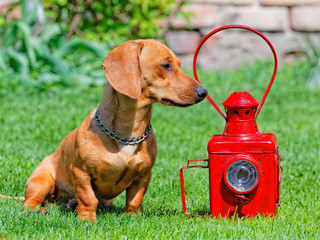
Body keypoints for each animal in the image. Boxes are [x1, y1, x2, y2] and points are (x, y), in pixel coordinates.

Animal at [23, 39, 208, 221]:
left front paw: (134, 217)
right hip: (41, 180)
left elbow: (135, 200)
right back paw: (38, 209)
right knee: (31, 201)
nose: (203, 92)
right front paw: (87, 219)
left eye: (179, 64)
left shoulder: (144, 175)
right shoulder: (81, 173)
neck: (128, 135)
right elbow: (88, 198)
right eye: (166, 65)